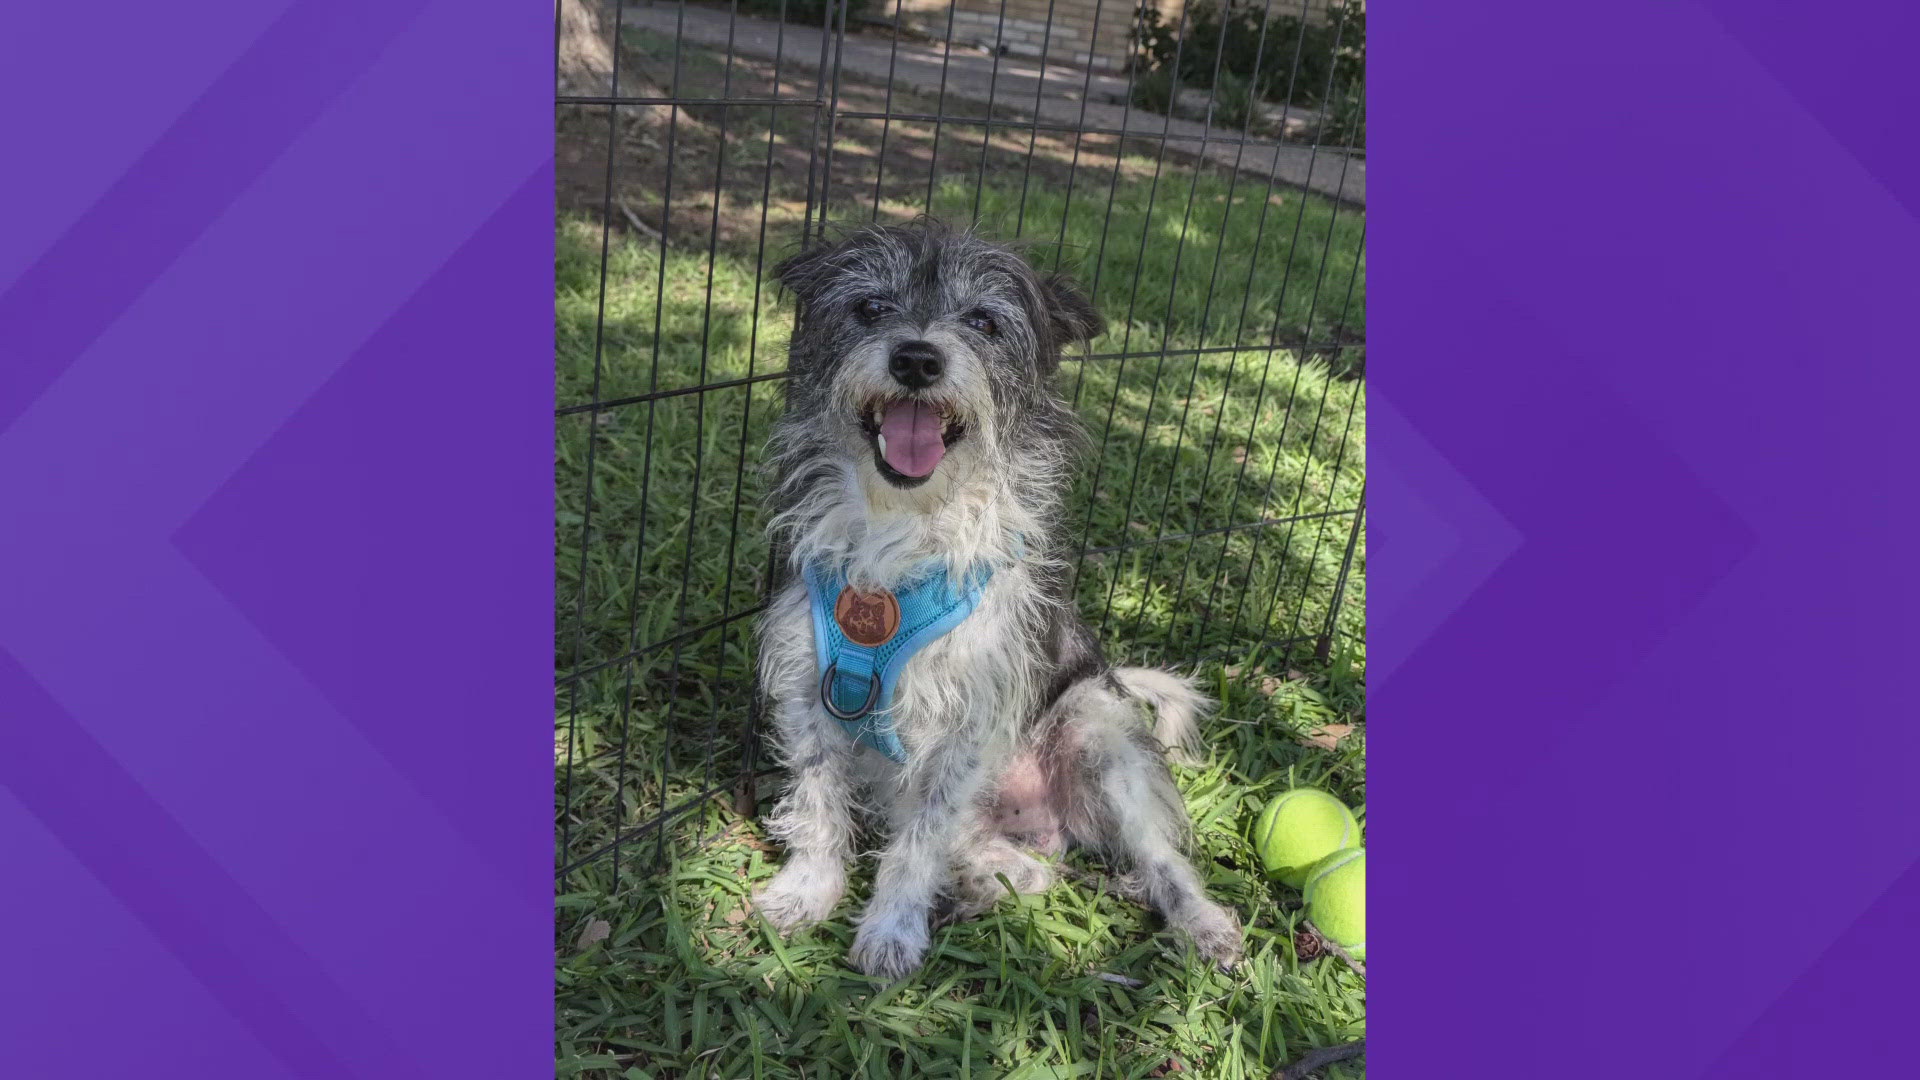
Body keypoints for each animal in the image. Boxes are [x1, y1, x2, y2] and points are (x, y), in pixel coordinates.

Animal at [748, 219, 1244, 976]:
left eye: (983, 321)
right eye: (870, 307)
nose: (916, 359)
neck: (903, 524)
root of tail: (1042, 825)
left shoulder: (970, 718)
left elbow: (920, 839)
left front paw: (891, 929)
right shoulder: (810, 689)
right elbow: (817, 801)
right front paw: (807, 891)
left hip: (1098, 733)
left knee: (1158, 858)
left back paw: (1202, 920)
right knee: (1028, 869)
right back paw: (982, 882)